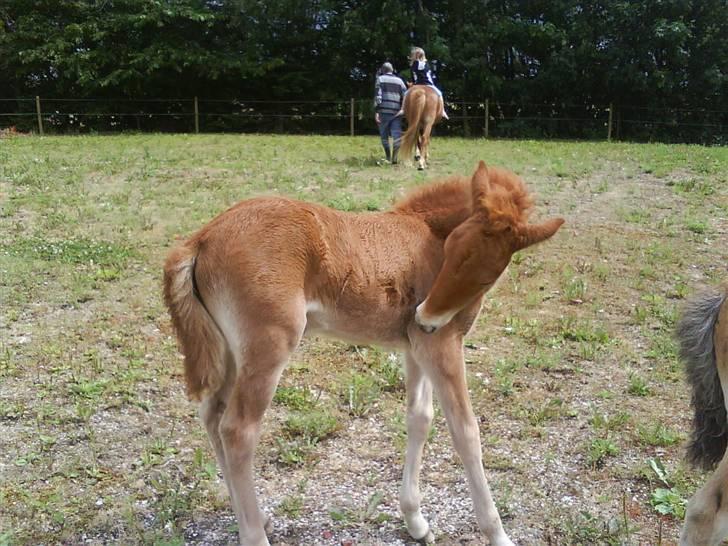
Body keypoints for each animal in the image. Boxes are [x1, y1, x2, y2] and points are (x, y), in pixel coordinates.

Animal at [164, 162, 564, 544]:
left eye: (487, 276)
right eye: (450, 249)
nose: (424, 316)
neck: (426, 231)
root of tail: (201, 239)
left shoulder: (417, 346)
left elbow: (420, 418)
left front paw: (416, 522)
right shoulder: (441, 343)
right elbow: (465, 432)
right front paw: (498, 534)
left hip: (233, 352)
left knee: (212, 414)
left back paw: (257, 518)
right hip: (269, 346)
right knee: (238, 430)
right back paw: (255, 534)